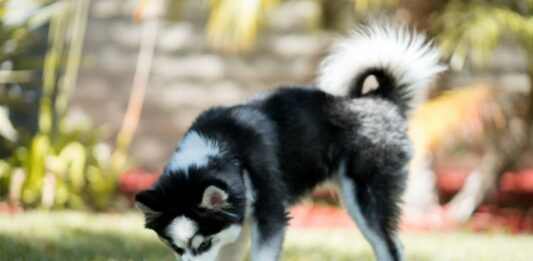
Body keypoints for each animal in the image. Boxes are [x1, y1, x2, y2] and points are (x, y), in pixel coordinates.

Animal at [135, 21, 442, 260]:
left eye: (204, 244)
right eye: (174, 247)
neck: (225, 148)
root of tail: (379, 99)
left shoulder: (269, 216)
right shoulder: (235, 225)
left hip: (366, 199)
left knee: (390, 246)